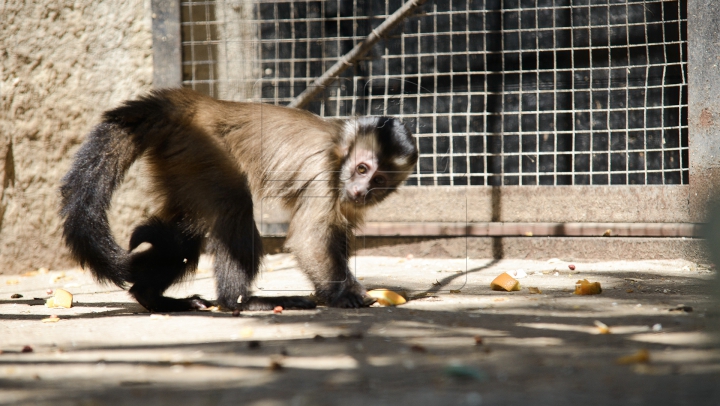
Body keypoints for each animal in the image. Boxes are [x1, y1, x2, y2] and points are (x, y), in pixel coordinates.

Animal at [59, 88, 420, 310]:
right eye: (361, 168)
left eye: (378, 180)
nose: (361, 190)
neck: (338, 152)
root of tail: (197, 102)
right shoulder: (323, 171)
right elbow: (309, 238)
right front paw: (343, 294)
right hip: (201, 146)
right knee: (235, 206)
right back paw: (240, 302)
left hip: (181, 159)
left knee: (184, 233)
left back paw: (151, 298)